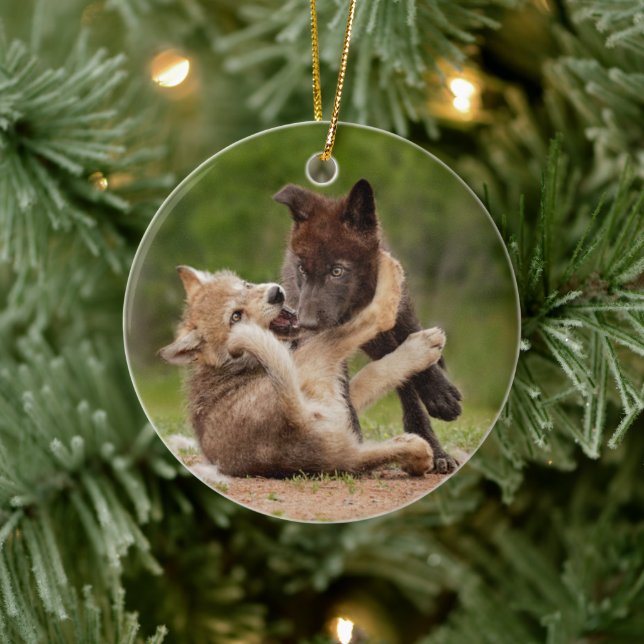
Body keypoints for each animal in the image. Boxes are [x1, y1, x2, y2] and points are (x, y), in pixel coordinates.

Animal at [159, 252, 446, 478]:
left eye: (246, 284)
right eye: (235, 316)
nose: (276, 293)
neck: (235, 364)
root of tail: (293, 423)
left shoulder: (340, 399)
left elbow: (370, 378)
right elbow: (376, 365)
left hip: (344, 443)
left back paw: (418, 453)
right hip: (318, 355)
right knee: (376, 317)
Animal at [274, 179, 462, 473]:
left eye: (337, 271)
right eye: (303, 269)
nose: (305, 323)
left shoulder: (397, 315)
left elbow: (414, 352)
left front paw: (440, 394)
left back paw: (435, 447)